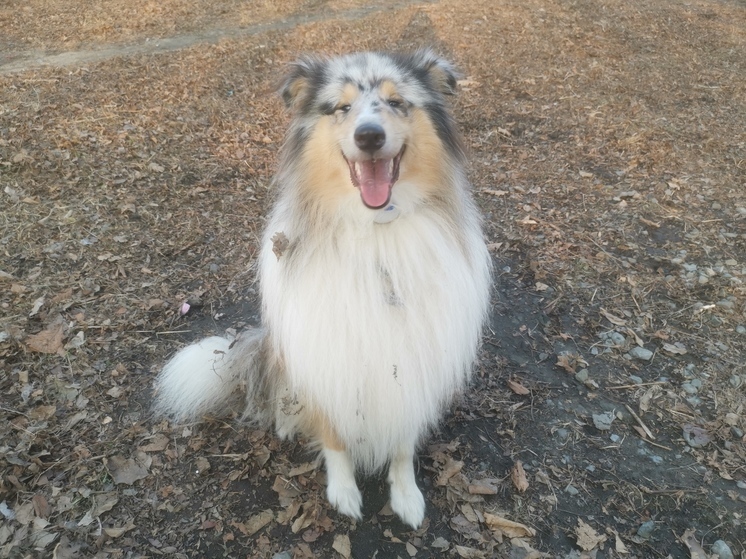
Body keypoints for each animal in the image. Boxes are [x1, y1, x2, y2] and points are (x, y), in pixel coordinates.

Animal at [153, 51, 492, 528]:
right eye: (341, 108)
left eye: (397, 102)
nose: (369, 135)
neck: (375, 231)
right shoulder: (326, 353)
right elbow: (334, 436)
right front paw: (344, 491)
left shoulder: (412, 357)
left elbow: (402, 440)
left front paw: (406, 494)